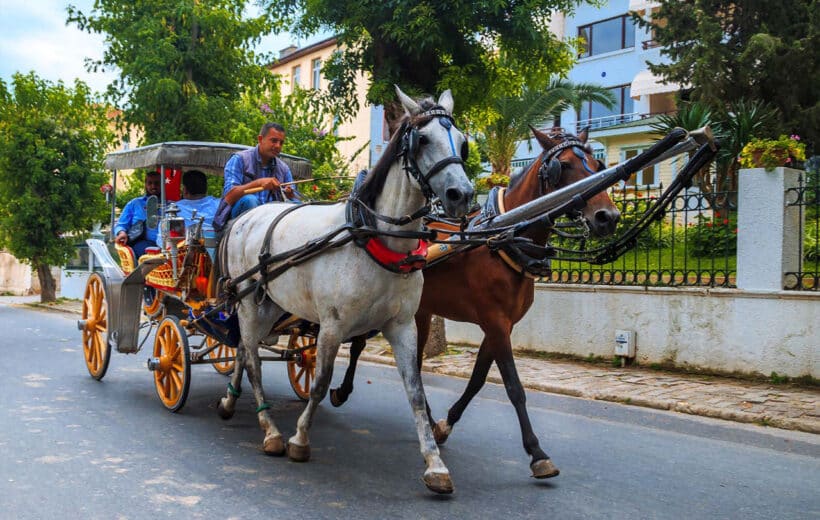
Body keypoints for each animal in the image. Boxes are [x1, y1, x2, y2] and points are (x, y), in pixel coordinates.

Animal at [215, 86, 473, 494]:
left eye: (463, 143)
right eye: (422, 140)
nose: (461, 195)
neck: (372, 237)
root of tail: (244, 217)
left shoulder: (402, 325)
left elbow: (416, 393)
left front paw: (435, 465)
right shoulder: (333, 326)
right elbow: (320, 383)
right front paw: (299, 439)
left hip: (269, 304)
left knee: (243, 348)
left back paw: (230, 402)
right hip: (246, 301)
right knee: (253, 359)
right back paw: (270, 431)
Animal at [330, 126, 620, 479]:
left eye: (596, 162)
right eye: (562, 166)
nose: (608, 216)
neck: (505, 235)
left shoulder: (501, 325)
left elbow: (479, 378)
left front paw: (445, 424)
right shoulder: (495, 322)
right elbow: (513, 386)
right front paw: (537, 452)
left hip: (420, 311)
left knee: (415, 363)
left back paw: (427, 418)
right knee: (359, 344)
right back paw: (342, 390)